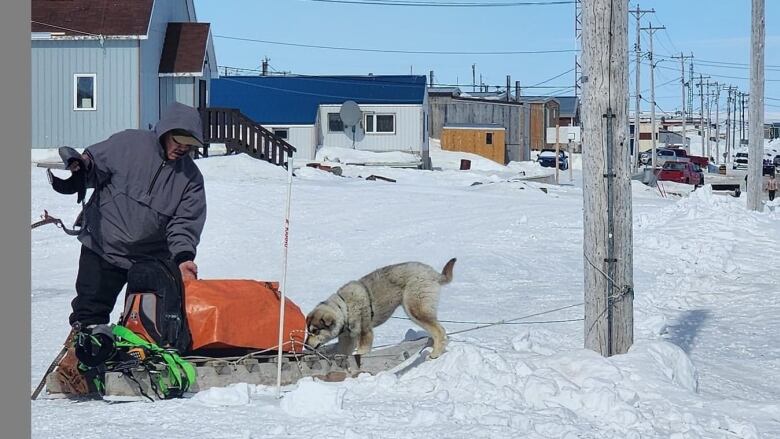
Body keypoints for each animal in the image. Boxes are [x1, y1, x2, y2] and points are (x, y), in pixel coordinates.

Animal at [304, 260, 458, 360]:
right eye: (308, 331)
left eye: (315, 331)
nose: (305, 346)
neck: (344, 308)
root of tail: (433, 273)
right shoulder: (348, 339)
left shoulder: (365, 333)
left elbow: (361, 352)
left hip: (415, 309)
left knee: (439, 330)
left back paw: (435, 354)